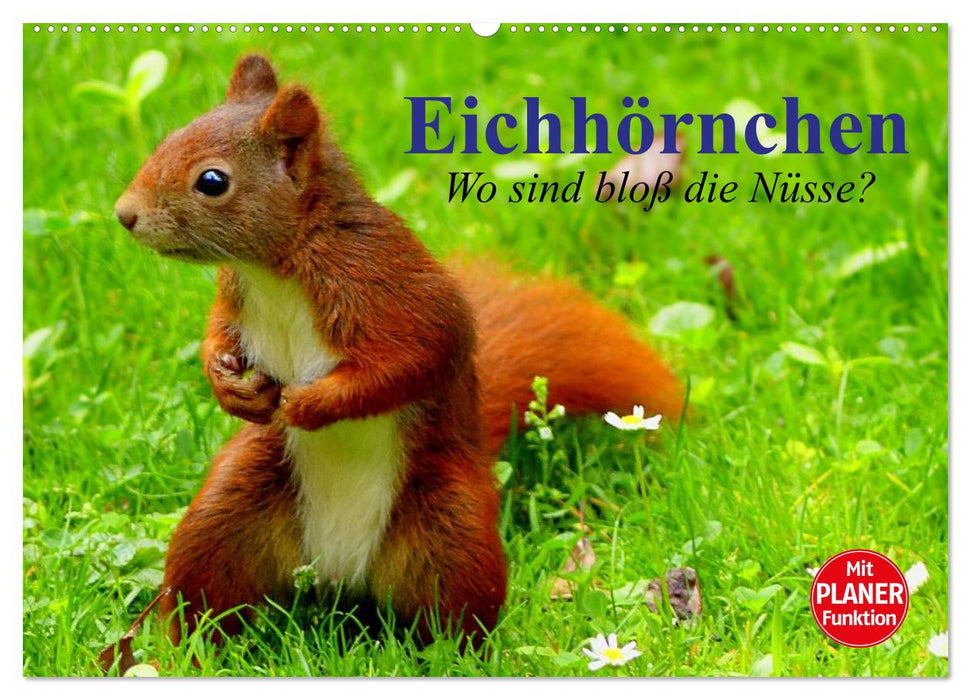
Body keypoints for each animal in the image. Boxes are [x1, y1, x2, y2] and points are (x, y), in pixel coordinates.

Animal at [113, 54, 684, 646]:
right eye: (168, 139)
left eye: (212, 181)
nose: (124, 214)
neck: (276, 269)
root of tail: (337, 573)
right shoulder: (236, 296)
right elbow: (218, 334)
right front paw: (228, 384)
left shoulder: (383, 284)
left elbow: (412, 359)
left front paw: (310, 404)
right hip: (230, 512)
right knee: (206, 593)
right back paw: (187, 650)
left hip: (453, 529)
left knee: (456, 616)